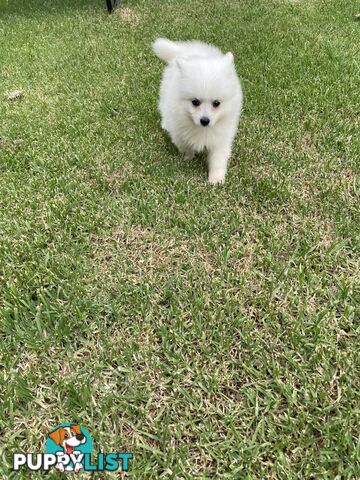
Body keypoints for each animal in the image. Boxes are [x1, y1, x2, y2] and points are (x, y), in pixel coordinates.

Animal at [152, 37, 242, 184]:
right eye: (195, 102)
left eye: (216, 103)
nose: (205, 120)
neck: (202, 129)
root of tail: (189, 49)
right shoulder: (179, 133)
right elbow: (185, 146)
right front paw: (188, 158)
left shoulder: (221, 138)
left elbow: (218, 158)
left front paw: (216, 179)